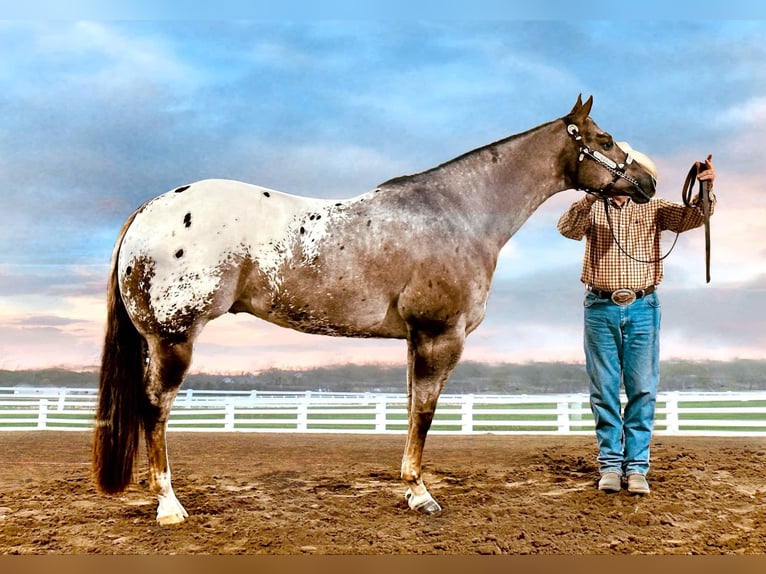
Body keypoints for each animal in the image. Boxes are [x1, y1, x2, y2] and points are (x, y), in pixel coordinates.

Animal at [93, 94, 656, 528]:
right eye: (605, 138)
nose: (648, 183)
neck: (459, 213)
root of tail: (148, 209)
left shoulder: (415, 339)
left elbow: (410, 409)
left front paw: (409, 489)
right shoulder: (438, 336)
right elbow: (425, 414)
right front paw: (421, 495)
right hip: (173, 339)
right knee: (154, 408)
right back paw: (168, 505)